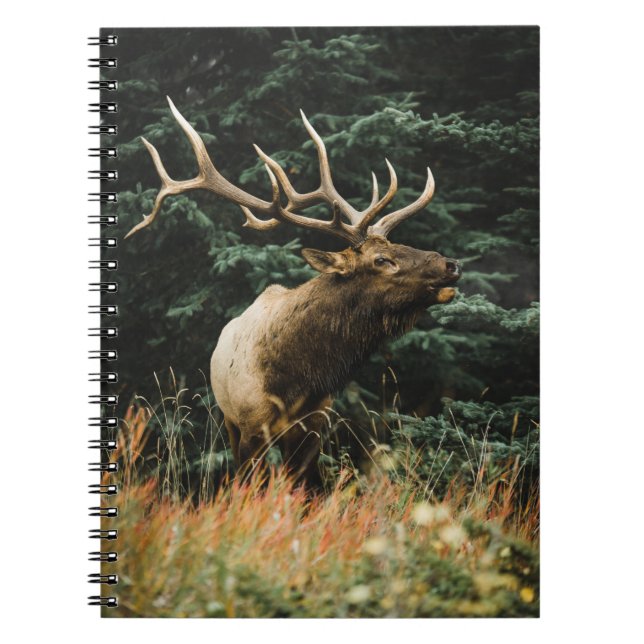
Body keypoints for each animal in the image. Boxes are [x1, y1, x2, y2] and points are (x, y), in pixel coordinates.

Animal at [126, 97, 461, 487]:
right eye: (381, 259)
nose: (451, 264)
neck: (297, 379)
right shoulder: (250, 425)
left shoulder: (314, 426)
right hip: (228, 419)